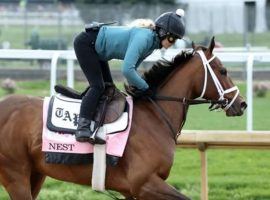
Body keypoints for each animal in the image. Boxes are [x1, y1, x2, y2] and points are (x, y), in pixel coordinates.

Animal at [0, 36, 247, 199]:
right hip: (16, 175)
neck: (155, 117)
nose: (242, 103)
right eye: (223, 71)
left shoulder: (130, 190)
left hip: (36, 174)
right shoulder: (144, 183)